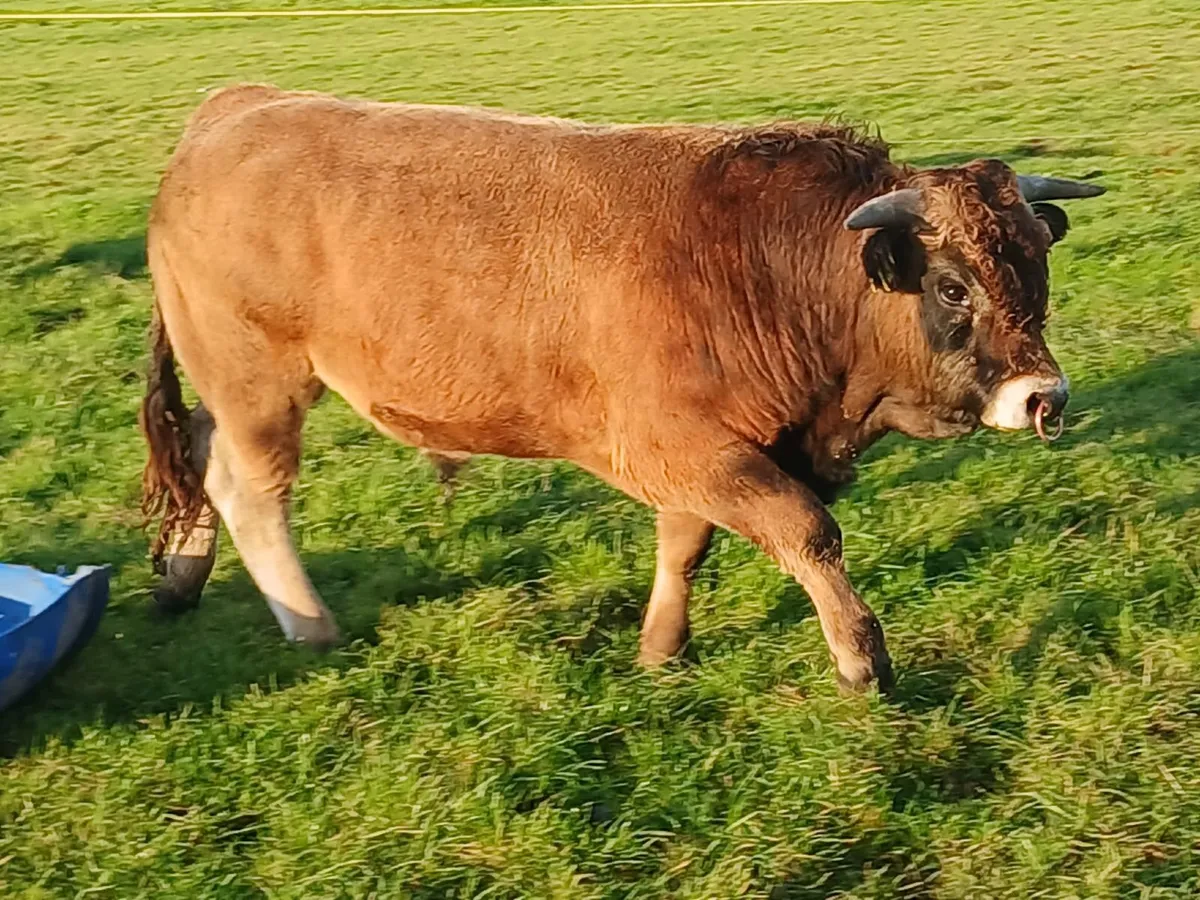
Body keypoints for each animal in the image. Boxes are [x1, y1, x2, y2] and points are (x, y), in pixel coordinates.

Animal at [140, 84, 1104, 693]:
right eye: (952, 286)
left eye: (1037, 264)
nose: (1045, 396)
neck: (756, 262)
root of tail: (239, 107)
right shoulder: (677, 446)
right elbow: (807, 532)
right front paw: (862, 659)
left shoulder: (710, 453)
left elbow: (686, 547)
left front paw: (661, 646)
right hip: (259, 380)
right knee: (250, 490)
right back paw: (308, 622)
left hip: (231, 383)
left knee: (200, 454)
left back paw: (182, 579)